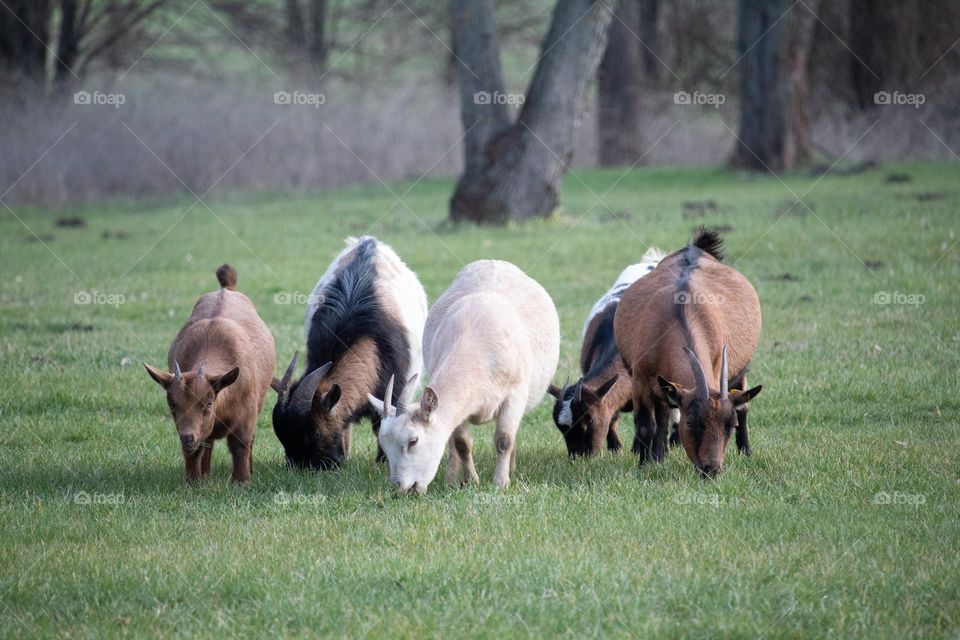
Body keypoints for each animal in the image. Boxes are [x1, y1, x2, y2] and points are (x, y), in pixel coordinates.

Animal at [144, 264, 276, 480]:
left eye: (208, 402)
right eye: (171, 403)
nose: (187, 437)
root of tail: (226, 288)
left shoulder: (246, 417)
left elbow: (240, 445)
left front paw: (242, 481)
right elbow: (196, 451)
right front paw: (193, 481)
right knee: (208, 444)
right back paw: (205, 475)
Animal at [276, 238, 430, 468]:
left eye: (314, 432)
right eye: (283, 438)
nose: (317, 467)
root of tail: (368, 240)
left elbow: (382, 424)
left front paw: (383, 461)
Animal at [368, 260, 564, 496]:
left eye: (413, 441)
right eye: (385, 445)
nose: (401, 488)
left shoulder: (514, 395)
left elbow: (504, 440)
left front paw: (500, 482)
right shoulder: (458, 406)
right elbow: (461, 442)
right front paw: (471, 480)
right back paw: (451, 478)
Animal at [548, 248, 684, 458]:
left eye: (589, 420)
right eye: (562, 428)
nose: (578, 457)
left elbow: (657, 418)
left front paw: (654, 452)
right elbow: (614, 416)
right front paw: (616, 448)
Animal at [616, 230, 764, 476]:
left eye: (729, 425)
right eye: (690, 422)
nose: (711, 469)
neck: (681, 316)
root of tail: (696, 248)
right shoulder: (641, 380)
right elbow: (647, 425)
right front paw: (645, 465)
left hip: (741, 369)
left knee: (744, 404)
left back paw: (746, 452)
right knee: (662, 415)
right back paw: (658, 456)